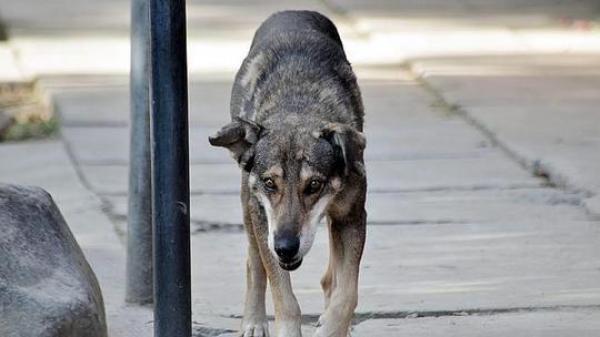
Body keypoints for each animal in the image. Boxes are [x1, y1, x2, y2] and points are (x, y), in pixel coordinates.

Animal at [209, 10, 368, 336]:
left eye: (315, 185)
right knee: (254, 264)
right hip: (249, 209)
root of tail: (293, 11)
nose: (285, 248)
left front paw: (333, 327)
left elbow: (347, 293)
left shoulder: (352, 216)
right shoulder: (263, 220)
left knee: (331, 276)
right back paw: (253, 322)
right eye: (270, 183)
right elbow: (283, 295)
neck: (298, 107)